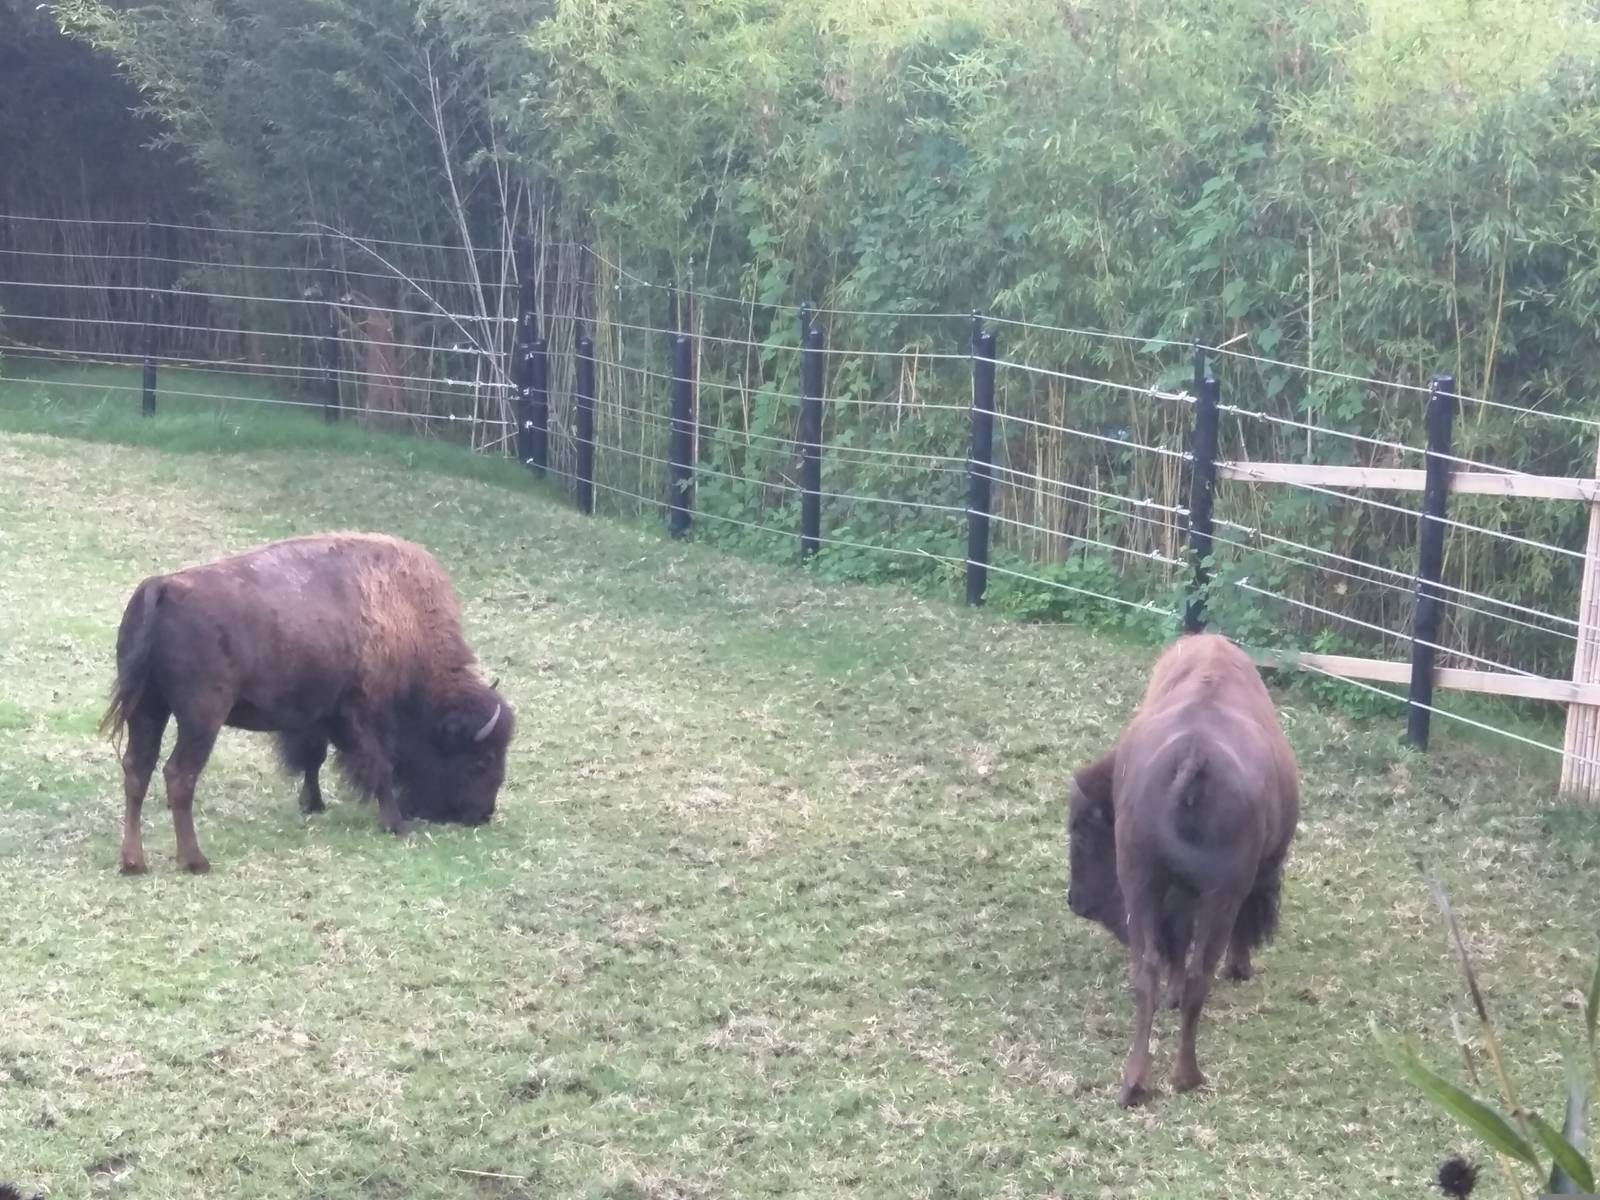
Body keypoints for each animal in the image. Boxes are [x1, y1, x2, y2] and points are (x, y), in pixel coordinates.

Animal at [100, 532, 515, 873]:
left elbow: (312, 758)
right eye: (482, 760)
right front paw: (398, 825)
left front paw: (313, 804)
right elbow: (379, 766)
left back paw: (133, 862)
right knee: (179, 775)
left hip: (148, 710)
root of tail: (163, 587)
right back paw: (195, 861)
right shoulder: (362, 713)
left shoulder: (317, 714)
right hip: (200, 719)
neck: (403, 614)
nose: (483, 814)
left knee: (137, 769)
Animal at [1067, 632, 1298, 1106]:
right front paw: (1241, 968)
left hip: (1140, 878)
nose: (1074, 901)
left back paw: (1135, 1083)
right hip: (1220, 894)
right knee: (1198, 975)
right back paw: (1188, 1076)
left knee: (1149, 969)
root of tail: (1194, 756)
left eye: (1080, 835)